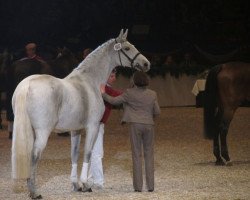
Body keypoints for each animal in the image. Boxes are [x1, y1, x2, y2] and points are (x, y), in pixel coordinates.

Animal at [11, 28, 149, 199]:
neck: (89, 81)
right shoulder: (92, 126)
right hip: (43, 132)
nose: (146, 63)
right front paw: (85, 185)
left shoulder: (75, 130)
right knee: (34, 155)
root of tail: (27, 84)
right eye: (128, 48)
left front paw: (75, 184)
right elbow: (88, 153)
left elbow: (74, 155)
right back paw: (34, 192)